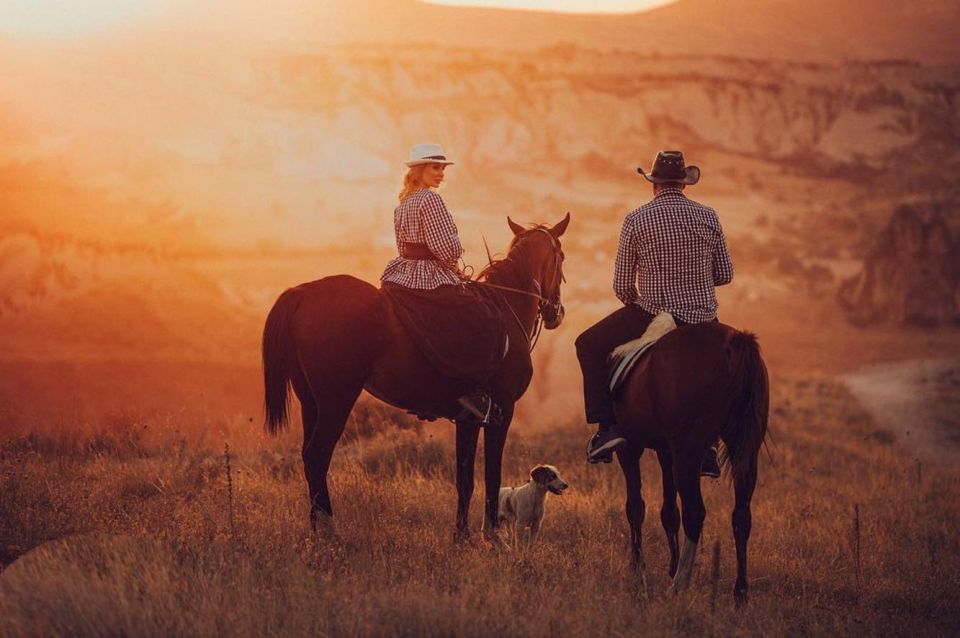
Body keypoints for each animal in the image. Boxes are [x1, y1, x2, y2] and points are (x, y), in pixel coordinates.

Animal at [258, 214, 568, 540]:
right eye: (561, 256)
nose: (556, 312)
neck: (507, 307)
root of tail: (301, 293)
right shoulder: (502, 411)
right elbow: (492, 475)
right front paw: (490, 535)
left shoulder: (469, 419)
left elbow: (465, 479)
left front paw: (461, 536)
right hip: (336, 399)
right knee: (318, 455)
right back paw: (331, 530)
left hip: (311, 401)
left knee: (308, 457)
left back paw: (317, 529)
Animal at [616, 322, 772, 604]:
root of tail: (734, 341)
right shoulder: (667, 450)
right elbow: (669, 510)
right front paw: (671, 564)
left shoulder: (629, 447)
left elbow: (635, 506)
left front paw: (638, 566)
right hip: (743, 451)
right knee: (741, 516)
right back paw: (740, 592)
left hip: (688, 453)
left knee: (695, 513)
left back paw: (679, 585)